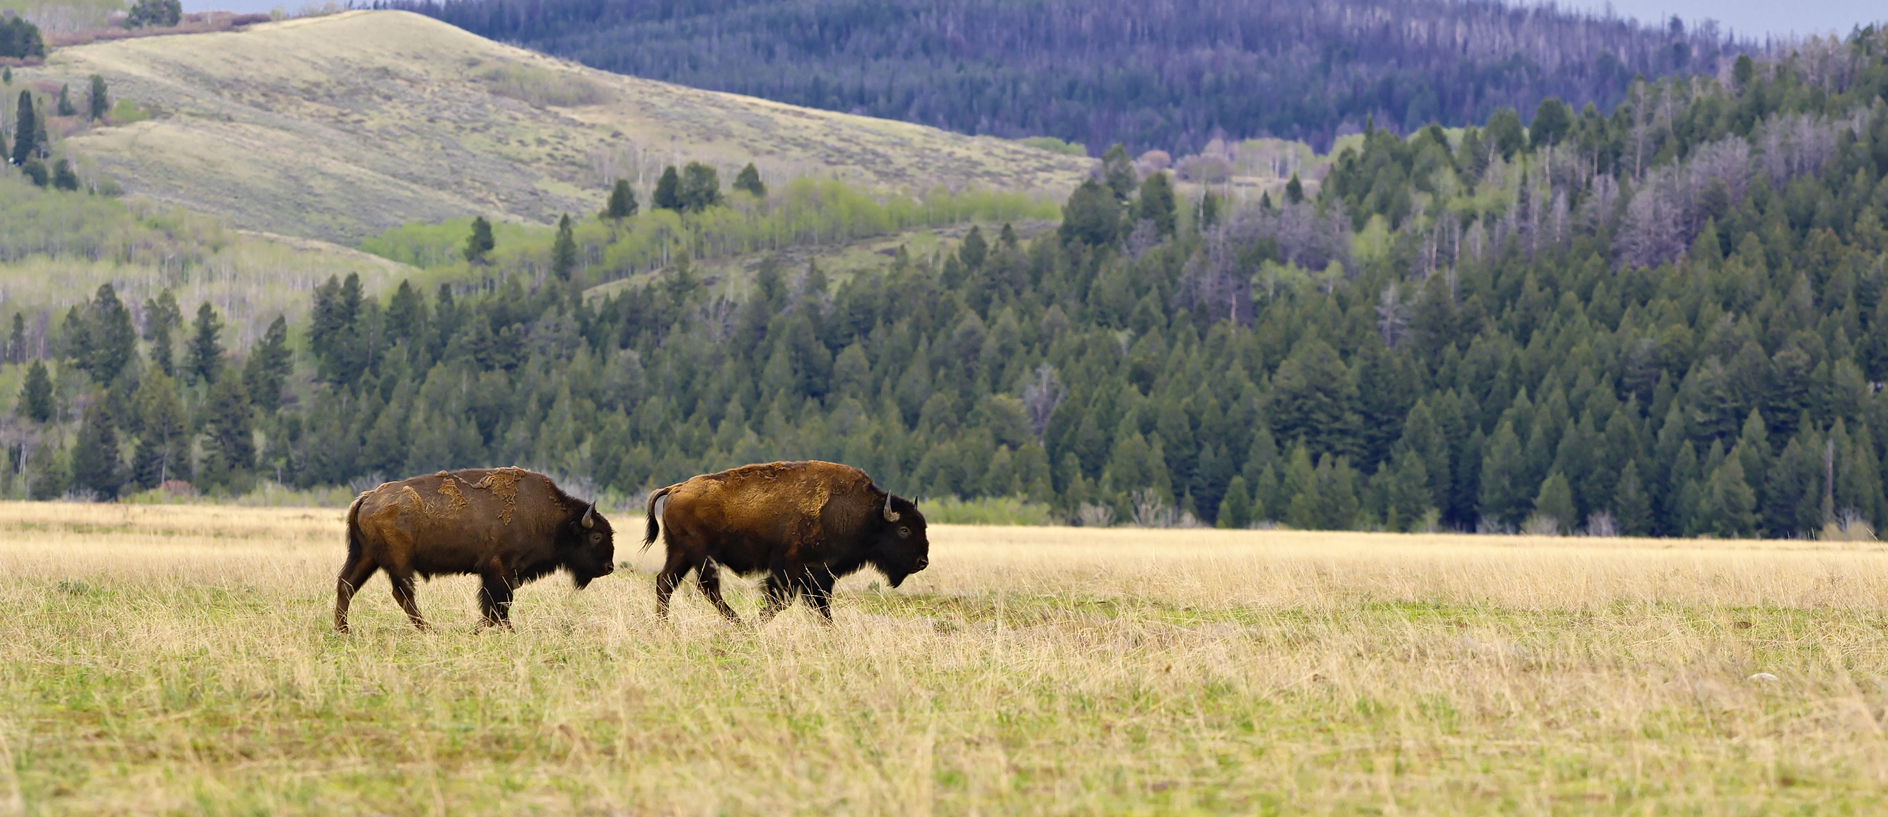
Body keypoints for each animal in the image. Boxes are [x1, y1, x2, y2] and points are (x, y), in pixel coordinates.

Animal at [335, 467, 616, 632]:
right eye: (596, 536)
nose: (609, 567)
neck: (552, 519)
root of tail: (366, 498)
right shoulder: (499, 570)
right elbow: (498, 603)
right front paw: (498, 630)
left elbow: (496, 604)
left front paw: (486, 628)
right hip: (398, 562)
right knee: (402, 593)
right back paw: (428, 630)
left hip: (365, 556)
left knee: (346, 585)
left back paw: (343, 630)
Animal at [642, 460, 928, 623]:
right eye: (903, 529)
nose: (922, 561)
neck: (865, 514)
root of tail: (676, 488)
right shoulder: (791, 569)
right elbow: (781, 600)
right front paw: (756, 625)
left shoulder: (820, 575)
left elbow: (821, 606)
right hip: (702, 556)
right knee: (707, 588)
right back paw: (738, 624)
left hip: (680, 554)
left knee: (666, 583)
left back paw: (663, 626)